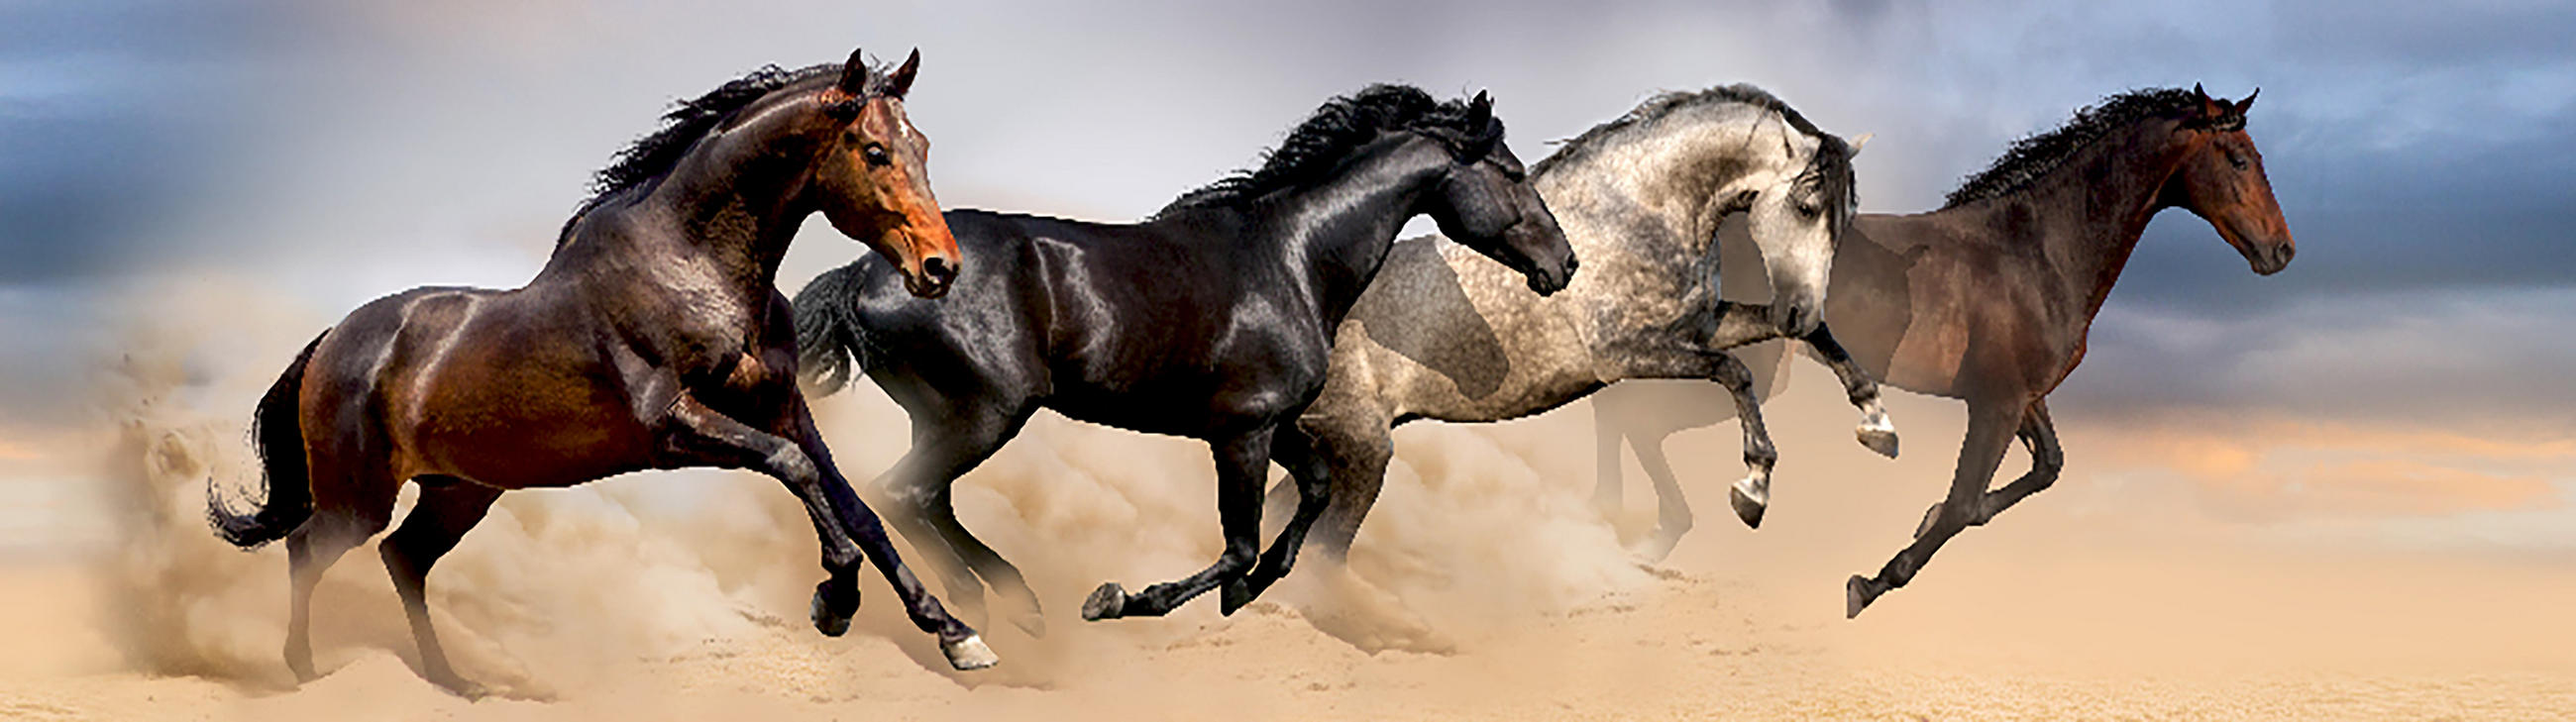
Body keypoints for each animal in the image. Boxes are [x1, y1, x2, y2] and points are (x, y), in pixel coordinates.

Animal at [205, 48, 997, 696]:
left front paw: (957, 634)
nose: (940, 268)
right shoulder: (674, 427)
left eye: (922, 146)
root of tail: (333, 339)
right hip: (357, 496)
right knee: (308, 549)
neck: (692, 263)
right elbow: (793, 469)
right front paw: (835, 602)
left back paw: (452, 683)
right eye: (874, 151)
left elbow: (853, 505)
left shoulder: (780, 407)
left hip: (461, 491)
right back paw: (305, 670)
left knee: (405, 557)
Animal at [793, 85, 1577, 631]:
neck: (1291, 260)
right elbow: (1240, 542)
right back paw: (984, 608)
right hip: (983, 414)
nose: (1563, 263)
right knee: (905, 492)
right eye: (1511, 172)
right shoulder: (1242, 431)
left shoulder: (1272, 424)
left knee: (924, 498)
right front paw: (1119, 599)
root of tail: (862, 275)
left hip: (951, 419)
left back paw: (1010, 602)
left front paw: (1246, 594)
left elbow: (1312, 497)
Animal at [1258, 85, 1884, 611]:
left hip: (1337, 450)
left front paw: (1878, 423)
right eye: (1806, 206)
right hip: (1361, 449)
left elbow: (1810, 343)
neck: (1640, 213)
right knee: (1322, 548)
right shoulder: (1626, 354)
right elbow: (1734, 373)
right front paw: (1752, 489)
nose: (1798, 307)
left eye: (1846, 217)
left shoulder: (1701, 325)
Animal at [1598, 85, 2293, 618]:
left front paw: (1925, 518)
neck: (2037, 249)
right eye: (2237, 158)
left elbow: (2041, 471)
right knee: (1635, 415)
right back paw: (1656, 527)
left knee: (1620, 407)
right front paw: (1868, 584)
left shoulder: (2021, 397)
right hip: (1755, 369)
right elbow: (1963, 502)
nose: (2281, 251)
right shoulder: (1996, 403)